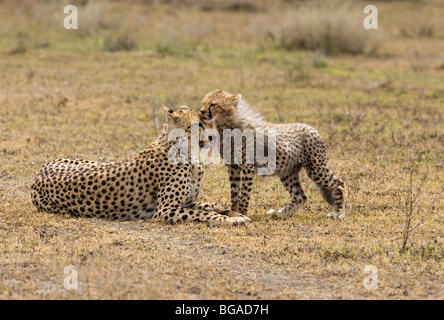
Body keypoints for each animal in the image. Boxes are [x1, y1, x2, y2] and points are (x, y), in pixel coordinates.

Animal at [31, 105, 250, 225]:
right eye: (196, 125)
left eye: (206, 122)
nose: (213, 137)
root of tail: (38, 175)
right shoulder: (165, 210)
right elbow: (204, 214)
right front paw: (233, 219)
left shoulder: (186, 202)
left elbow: (211, 206)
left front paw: (234, 212)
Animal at [199, 90, 346, 220]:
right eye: (203, 103)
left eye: (213, 104)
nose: (201, 111)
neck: (227, 126)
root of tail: (313, 129)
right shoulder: (233, 167)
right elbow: (234, 194)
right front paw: (234, 213)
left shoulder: (247, 167)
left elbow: (244, 194)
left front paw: (243, 213)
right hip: (287, 172)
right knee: (300, 196)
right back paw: (280, 213)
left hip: (315, 168)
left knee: (339, 184)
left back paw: (338, 213)